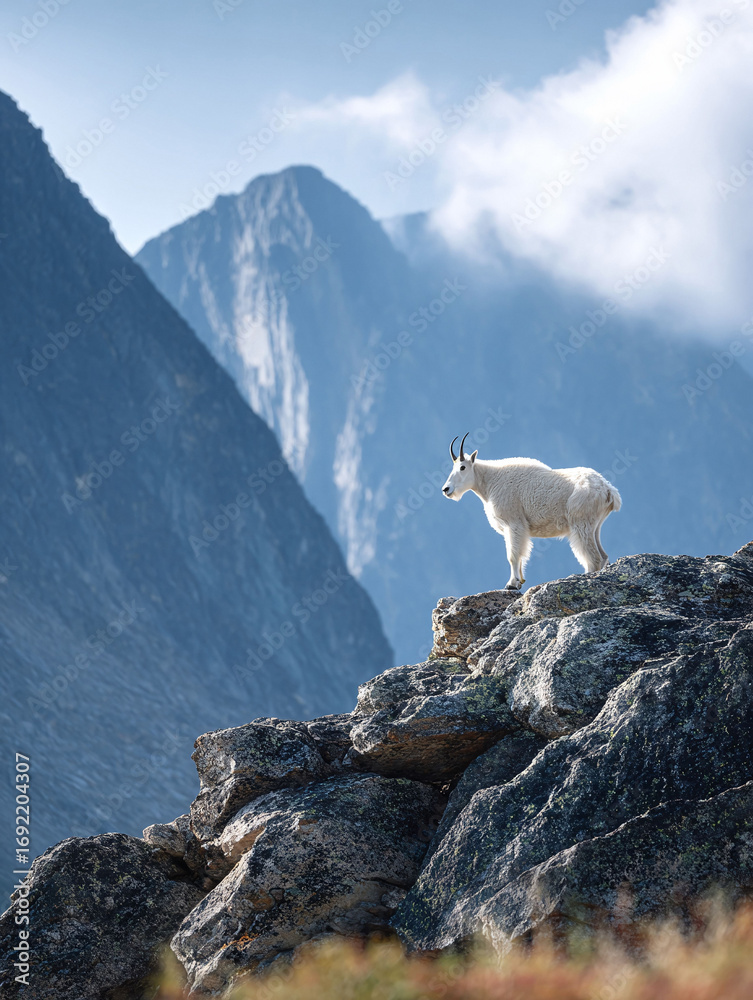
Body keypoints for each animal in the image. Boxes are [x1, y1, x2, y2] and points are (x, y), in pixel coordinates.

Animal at [442, 433, 621, 590]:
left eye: (462, 467)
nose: (446, 489)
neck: (490, 481)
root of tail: (609, 490)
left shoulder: (514, 523)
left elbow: (513, 556)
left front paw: (511, 584)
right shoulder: (517, 528)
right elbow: (519, 555)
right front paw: (519, 582)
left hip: (581, 523)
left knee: (593, 557)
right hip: (594, 526)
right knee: (603, 556)